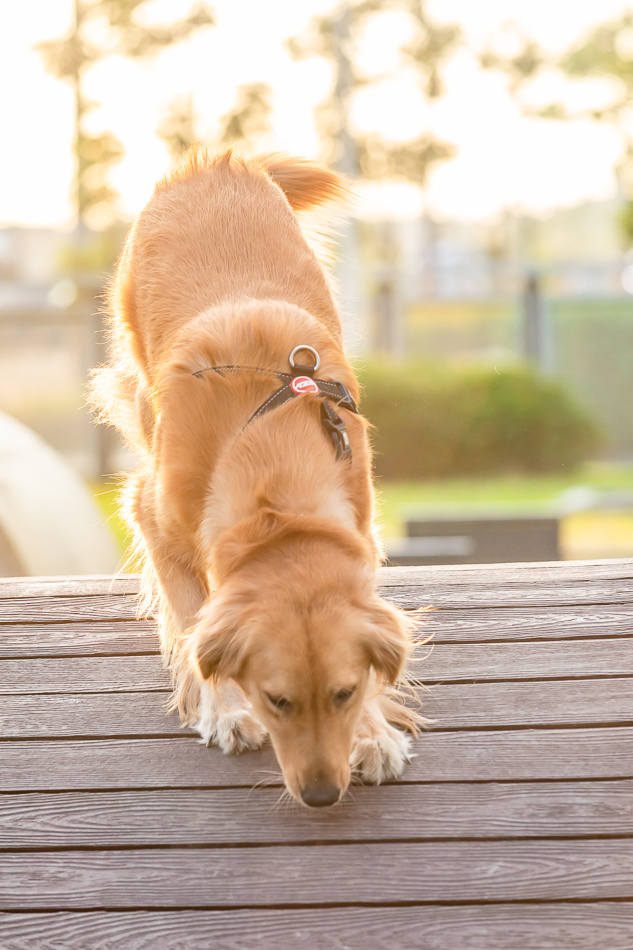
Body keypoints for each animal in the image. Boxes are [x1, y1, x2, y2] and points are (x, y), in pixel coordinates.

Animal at [94, 151, 420, 812]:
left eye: (344, 693)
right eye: (277, 701)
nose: (321, 795)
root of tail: (218, 161)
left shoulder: (362, 524)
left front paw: (374, 733)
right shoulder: (152, 515)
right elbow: (193, 618)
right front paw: (222, 711)